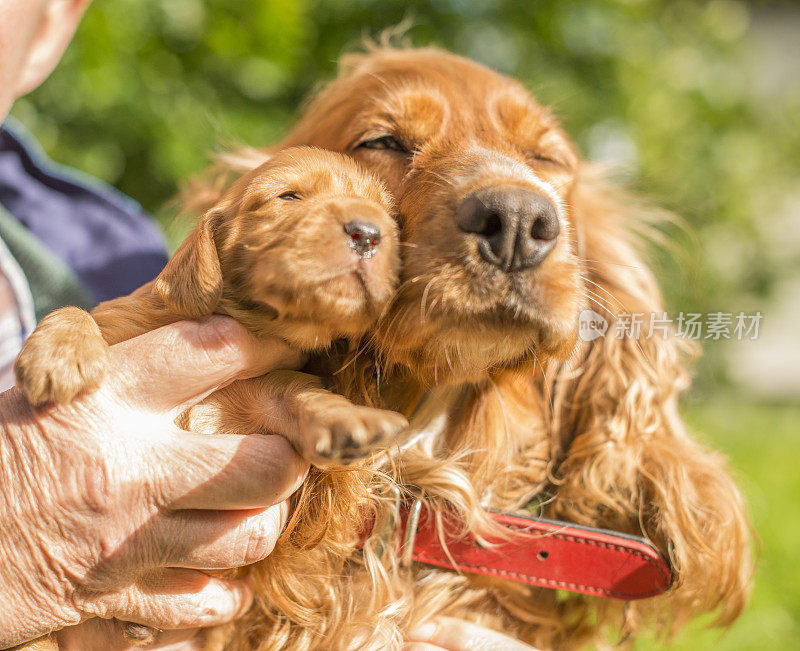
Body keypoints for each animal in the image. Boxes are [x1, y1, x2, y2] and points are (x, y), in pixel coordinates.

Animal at [14, 146, 406, 466]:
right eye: (289, 196)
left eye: (391, 219)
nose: (368, 234)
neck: (251, 319)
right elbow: (76, 311)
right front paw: (61, 355)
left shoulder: (274, 390)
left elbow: (306, 397)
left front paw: (354, 419)